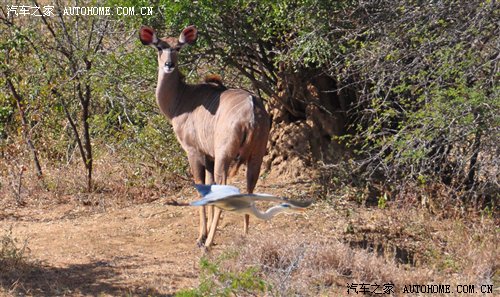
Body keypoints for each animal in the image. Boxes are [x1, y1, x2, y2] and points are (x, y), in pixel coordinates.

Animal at [139, 25, 272, 247]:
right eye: (159, 47)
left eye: (178, 48)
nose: (169, 65)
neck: (181, 100)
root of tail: (253, 110)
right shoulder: (209, 157)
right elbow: (210, 188)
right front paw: (206, 231)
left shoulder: (194, 152)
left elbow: (200, 186)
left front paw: (201, 236)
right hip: (256, 156)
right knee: (250, 186)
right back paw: (245, 235)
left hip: (224, 157)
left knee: (225, 187)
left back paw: (209, 242)